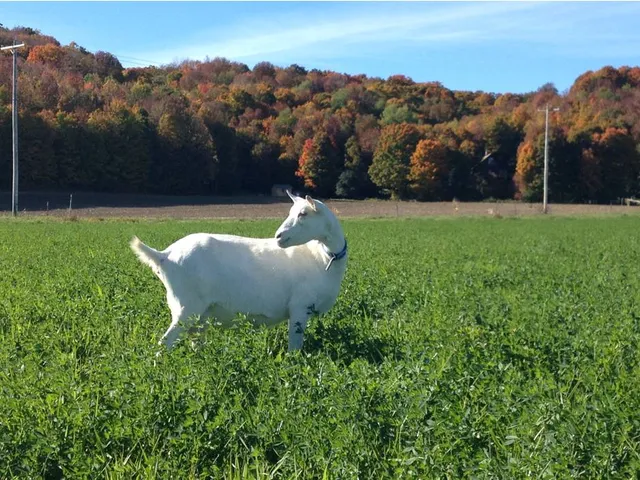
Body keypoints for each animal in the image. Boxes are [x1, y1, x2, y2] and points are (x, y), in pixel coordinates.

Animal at [130, 191, 348, 351]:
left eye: (303, 213)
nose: (278, 236)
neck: (319, 256)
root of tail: (164, 255)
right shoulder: (300, 307)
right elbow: (295, 346)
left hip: (200, 313)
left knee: (195, 340)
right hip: (186, 307)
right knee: (165, 343)